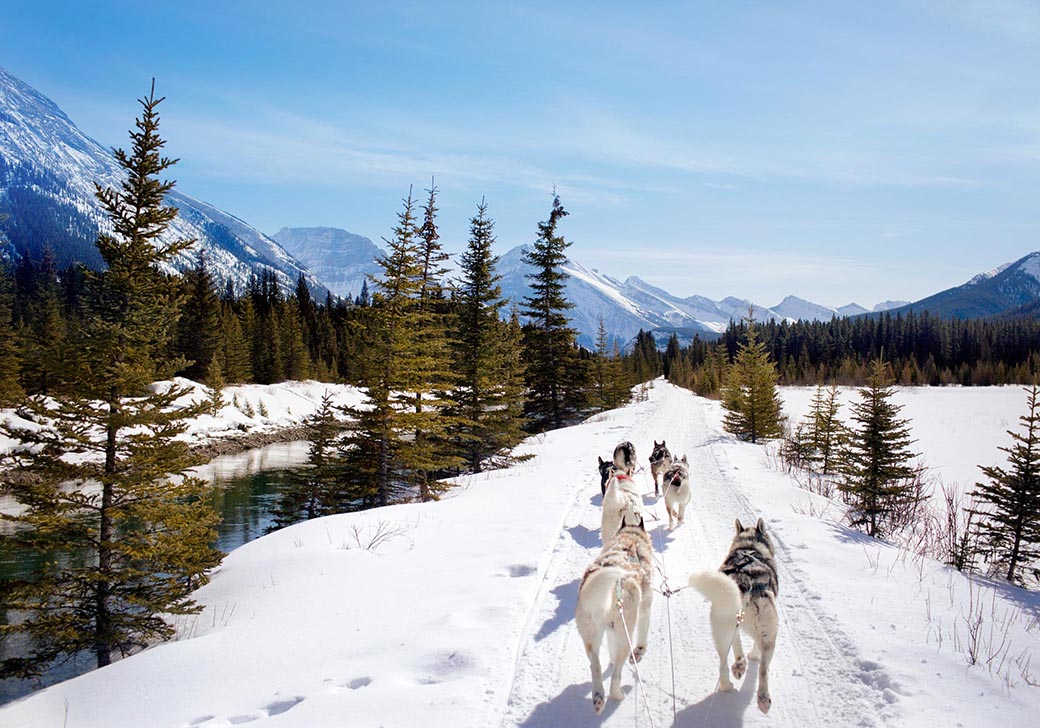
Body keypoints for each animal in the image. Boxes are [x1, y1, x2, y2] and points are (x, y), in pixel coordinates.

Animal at [578, 511, 648, 715]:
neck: (630, 541)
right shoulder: (645, 608)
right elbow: (643, 634)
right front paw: (641, 651)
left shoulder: (609, 630)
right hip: (625, 636)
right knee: (616, 675)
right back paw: (617, 695)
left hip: (592, 635)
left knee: (595, 665)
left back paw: (598, 697)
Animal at [690, 520, 782, 715]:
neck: (749, 547)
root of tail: (746, 584)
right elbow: (753, 649)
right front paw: (752, 656)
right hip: (768, 636)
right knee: (762, 669)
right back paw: (758, 694)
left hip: (722, 629)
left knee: (726, 663)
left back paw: (737, 676)